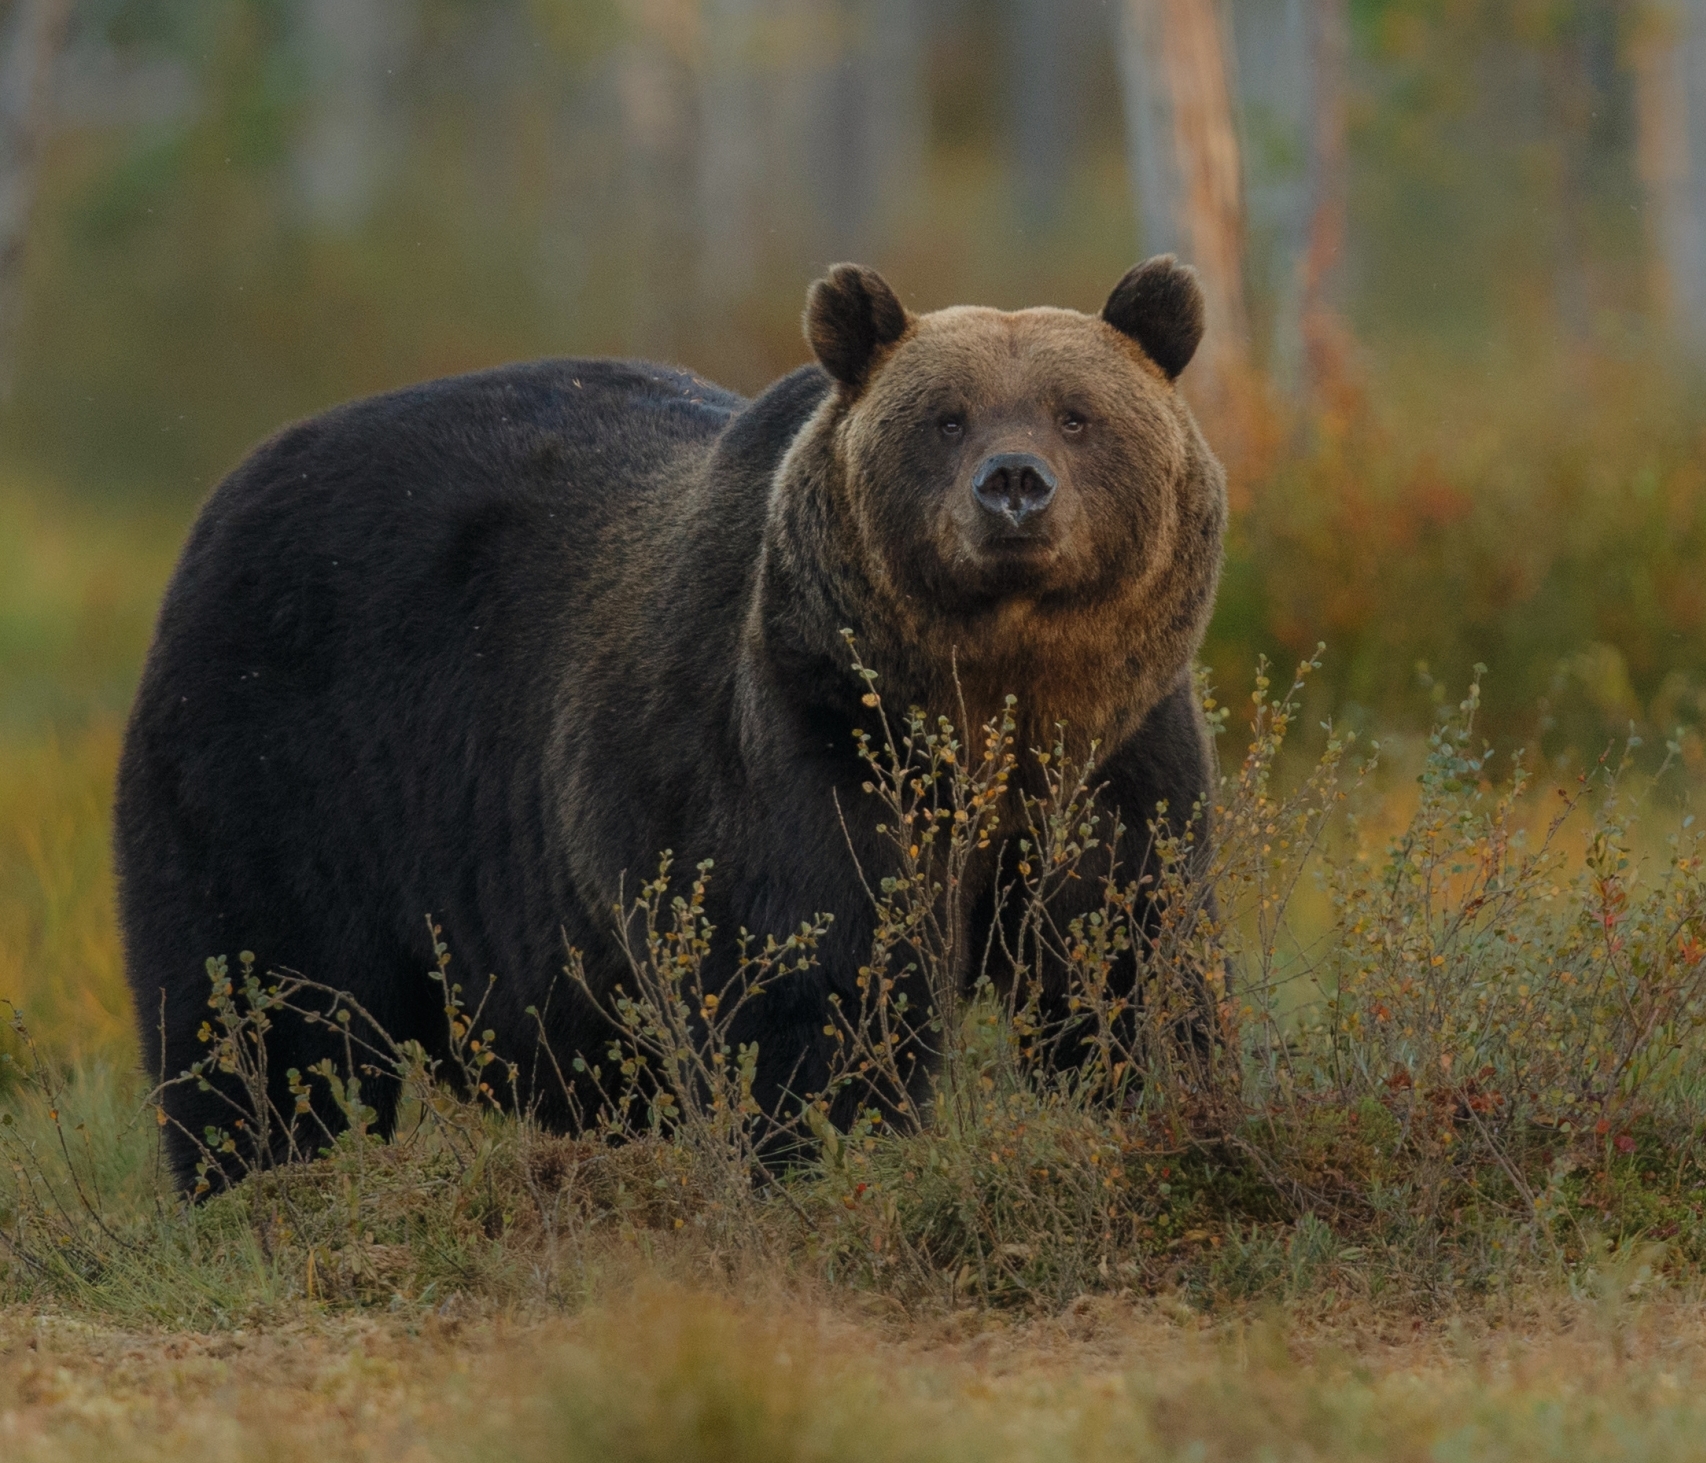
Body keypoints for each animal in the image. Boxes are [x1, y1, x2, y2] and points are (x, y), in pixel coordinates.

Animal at [116, 255, 1228, 1179]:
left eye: (1076, 413)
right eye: (945, 418)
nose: (1013, 485)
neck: (988, 697)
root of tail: (234, 486)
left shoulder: (1120, 747)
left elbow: (1131, 949)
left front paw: (1156, 1092)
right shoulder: (801, 731)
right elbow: (814, 974)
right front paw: (831, 1144)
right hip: (277, 757)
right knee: (259, 1007)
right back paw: (261, 1173)